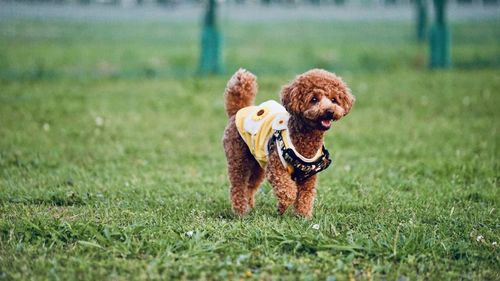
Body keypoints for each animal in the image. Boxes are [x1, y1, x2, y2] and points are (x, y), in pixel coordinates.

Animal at [221, 68, 354, 217]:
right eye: (314, 99)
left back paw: (249, 206)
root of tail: (237, 111)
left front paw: (302, 216)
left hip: (257, 163)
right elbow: (288, 191)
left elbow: (305, 196)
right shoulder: (276, 168)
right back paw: (241, 211)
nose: (330, 111)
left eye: (334, 100)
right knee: (237, 186)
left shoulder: (308, 177)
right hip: (238, 157)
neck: (304, 142)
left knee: (250, 186)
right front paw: (282, 208)